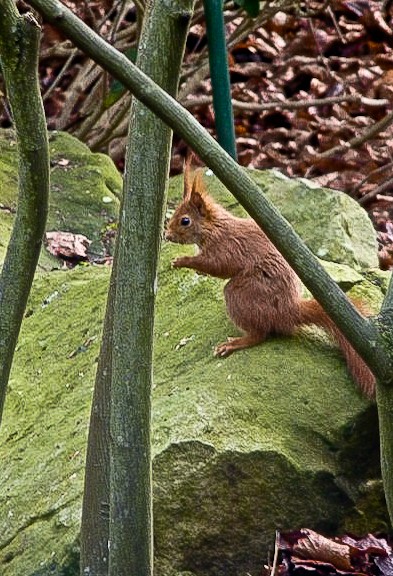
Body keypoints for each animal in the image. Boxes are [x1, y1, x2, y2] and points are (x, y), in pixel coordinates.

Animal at [164, 163, 376, 396]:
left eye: (185, 221)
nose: (166, 235)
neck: (214, 227)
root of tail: (289, 311)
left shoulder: (226, 247)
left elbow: (219, 266)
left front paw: (183, 261)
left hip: (241, 294)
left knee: (260, 334)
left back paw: (236, 343)